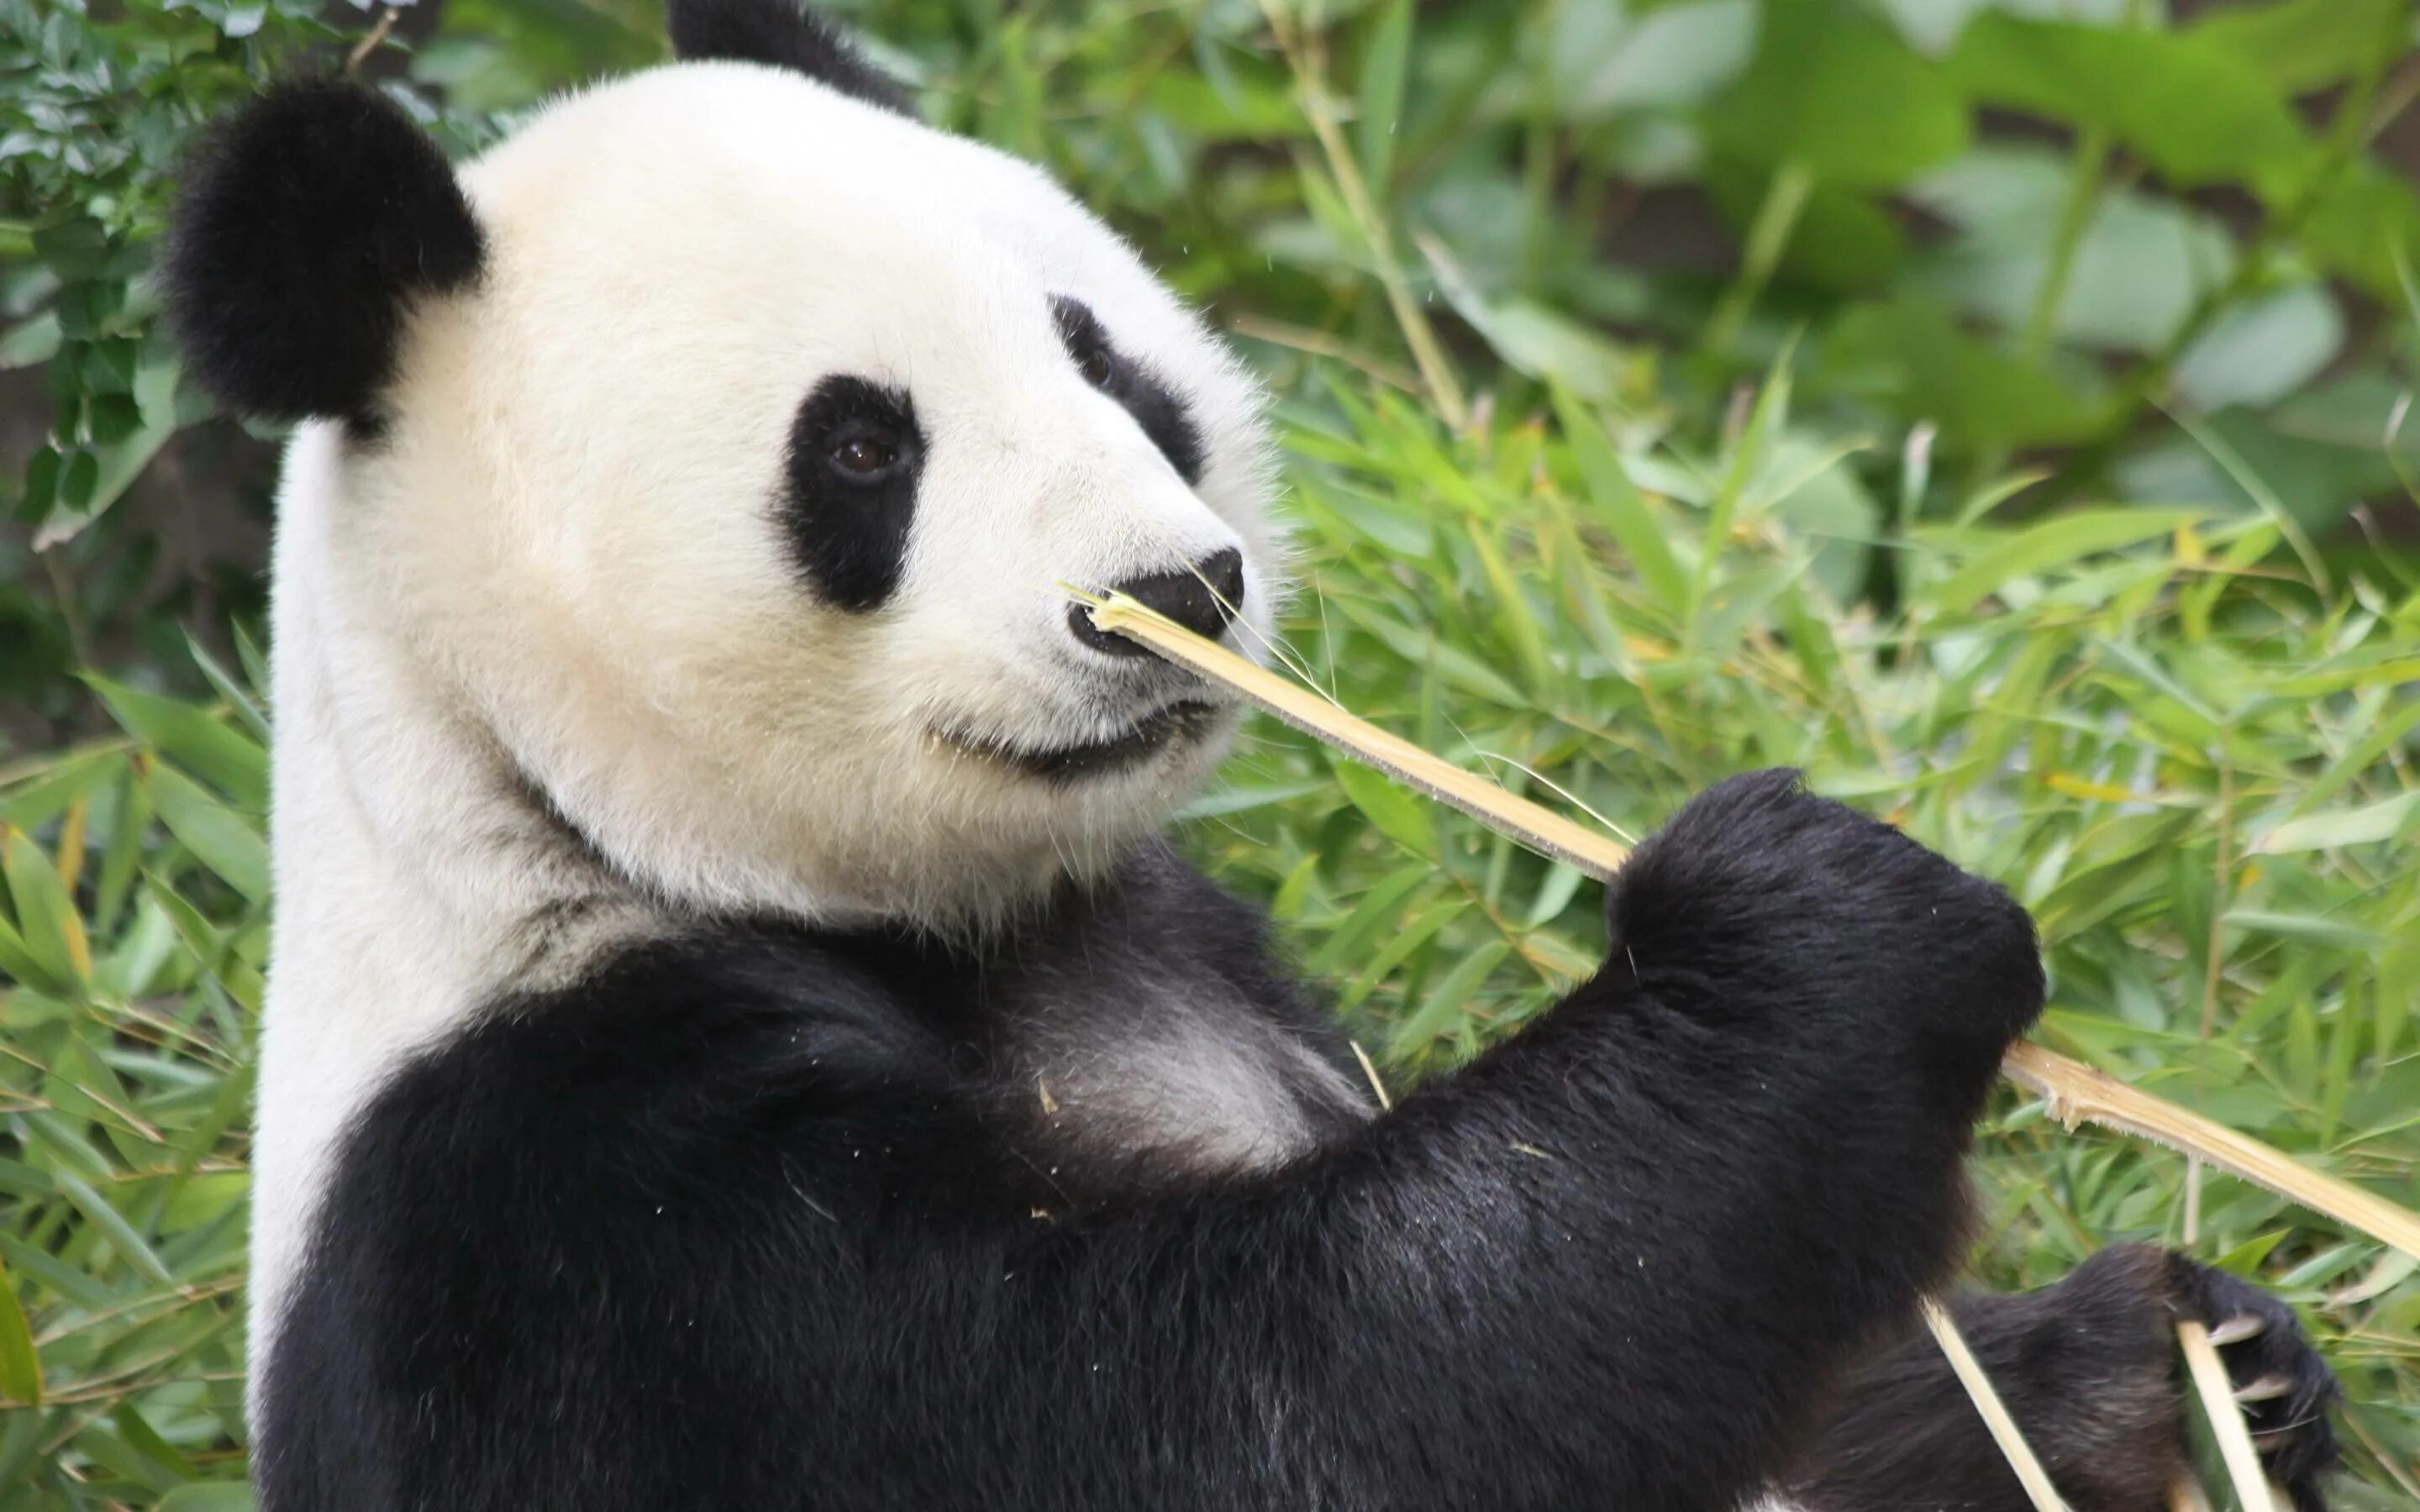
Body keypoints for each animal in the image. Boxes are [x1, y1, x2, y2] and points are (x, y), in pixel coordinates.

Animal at [155, 6, 2342, 1499]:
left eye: (1103, 359)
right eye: (861, 446)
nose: (1178, 587)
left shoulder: (1204, 956)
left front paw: (2168, 1370)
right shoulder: (582, 1205)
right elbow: (1259, 1403)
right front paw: (1822, 931)